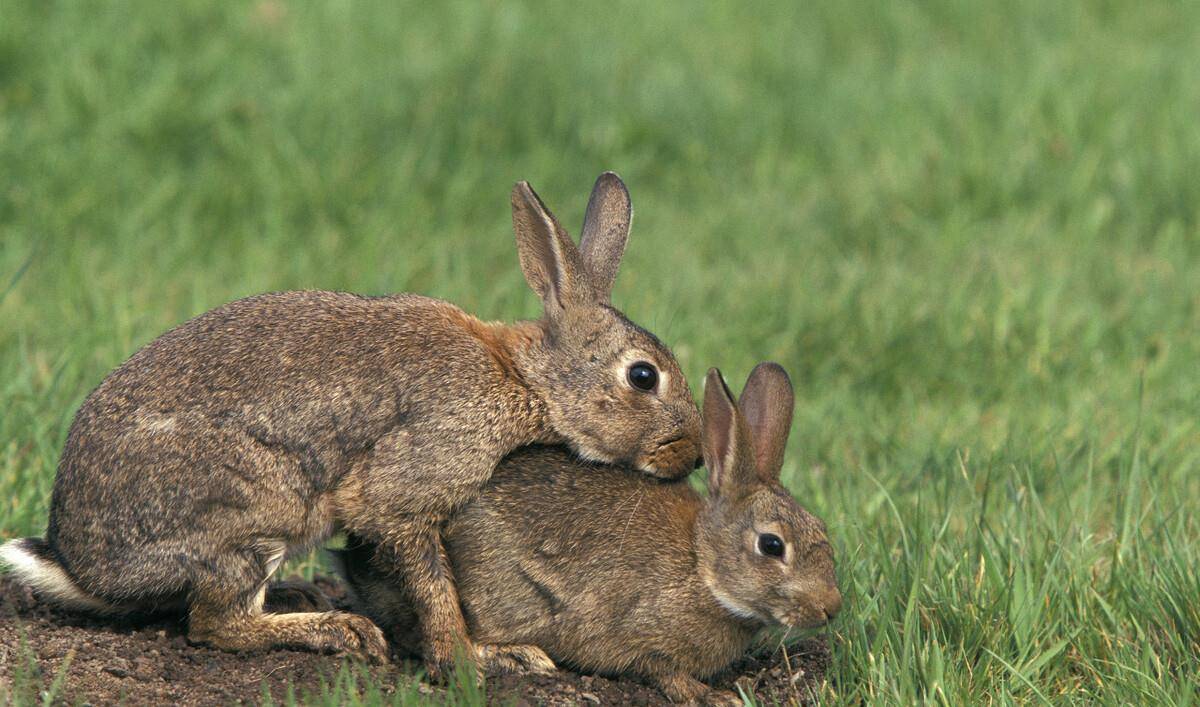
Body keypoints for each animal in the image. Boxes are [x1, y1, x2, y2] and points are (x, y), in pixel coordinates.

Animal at [0, 170, 700, 676]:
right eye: (643, 377)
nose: (691, 454)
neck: (526, 379)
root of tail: (82, 565)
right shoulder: (410, 486)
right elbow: (433, 582)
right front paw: (475, 660)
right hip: (257, 505)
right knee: (216, 625)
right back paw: (339, 630)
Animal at [333, 360, 844, 700]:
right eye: (772, 545)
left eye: (821, 530)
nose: (831, 608)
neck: (703, 565)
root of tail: (356, 560)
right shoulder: (640, 630)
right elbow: (658, 669)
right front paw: (708, 695)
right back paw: (518, 656)